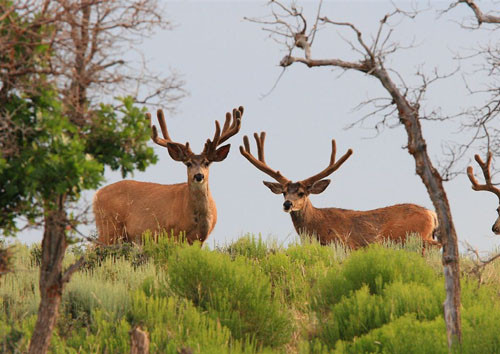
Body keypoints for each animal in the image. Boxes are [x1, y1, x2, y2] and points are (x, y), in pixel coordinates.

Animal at [94, 105, 244, 245]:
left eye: (207, 163)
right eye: (188, 163)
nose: (199, 176)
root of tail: (96, 195)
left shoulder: (200, 239)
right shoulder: (173, 232)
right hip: (108, 227)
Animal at [242, 132, 442, 249]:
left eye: (301, 193)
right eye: (284, 191)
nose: (287, 204)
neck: (315, 226)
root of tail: (432, 214)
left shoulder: (342, 243)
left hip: (413, 236)